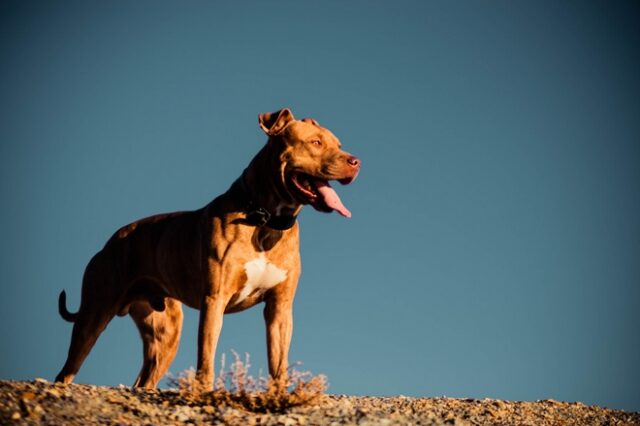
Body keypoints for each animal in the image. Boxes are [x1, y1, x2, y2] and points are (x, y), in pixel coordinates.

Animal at [55, 107, 360, 390]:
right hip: (94, 314)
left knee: (144, 379)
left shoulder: (280, 308)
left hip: (165, 333)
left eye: (339, 145)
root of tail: (110, 241)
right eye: (316, 143)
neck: (265, 219)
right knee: (67, 369)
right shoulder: (215, 299)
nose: (355, 162)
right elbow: (206, 354)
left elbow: (278, 362)